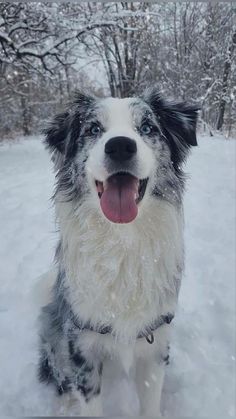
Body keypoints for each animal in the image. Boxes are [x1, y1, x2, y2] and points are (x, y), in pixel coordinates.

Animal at [38, 88, 197, 416]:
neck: (121, 241)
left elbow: (150, 402)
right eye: (93, 129)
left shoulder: (154, 340)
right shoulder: (81, 346)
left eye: (147, 127)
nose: (121, 146)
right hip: (54, 335)